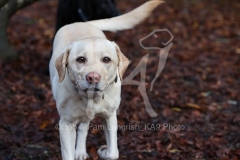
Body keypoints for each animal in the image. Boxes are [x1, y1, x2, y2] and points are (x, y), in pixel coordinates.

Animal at [49, 0, 164, 159]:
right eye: (80, 59)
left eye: (106, 59)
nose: (93, 77)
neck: (92, 98)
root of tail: (82, 22)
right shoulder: (66, 124)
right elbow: (68, 154)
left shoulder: (110, 117)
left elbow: (113, 152)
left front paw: (104, 151)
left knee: (84, 127)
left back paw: (80, 151)